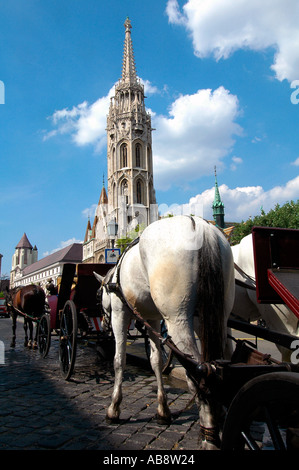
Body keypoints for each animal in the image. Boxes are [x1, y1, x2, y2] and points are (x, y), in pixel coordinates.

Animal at [95, 215, 236, 450]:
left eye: (99, 296)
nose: (104, 325)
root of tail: (201, 227)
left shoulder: (120, 313)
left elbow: (119, 360)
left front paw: (114, 408)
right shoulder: (152, 318)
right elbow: (156, 361)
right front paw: (163, 410)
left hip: (177, 320)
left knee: (200, 370)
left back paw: (209, 436)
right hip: (216, 317)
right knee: (221, 365)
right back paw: (221, 419)